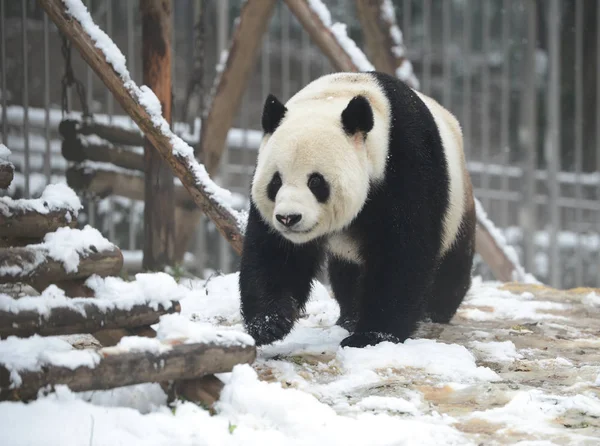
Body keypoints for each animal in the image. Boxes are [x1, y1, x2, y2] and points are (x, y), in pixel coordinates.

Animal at [237, 71, 476, 348]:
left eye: (315, 181)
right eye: (275, 182)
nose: (288, 218)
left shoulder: (407, 166)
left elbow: (402, 253)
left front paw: (372, 336)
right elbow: (275, 254)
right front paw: (269, 324)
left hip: (458, 209)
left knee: (452, 267)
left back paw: (433, 313)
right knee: (346, 274)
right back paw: (350, 315)